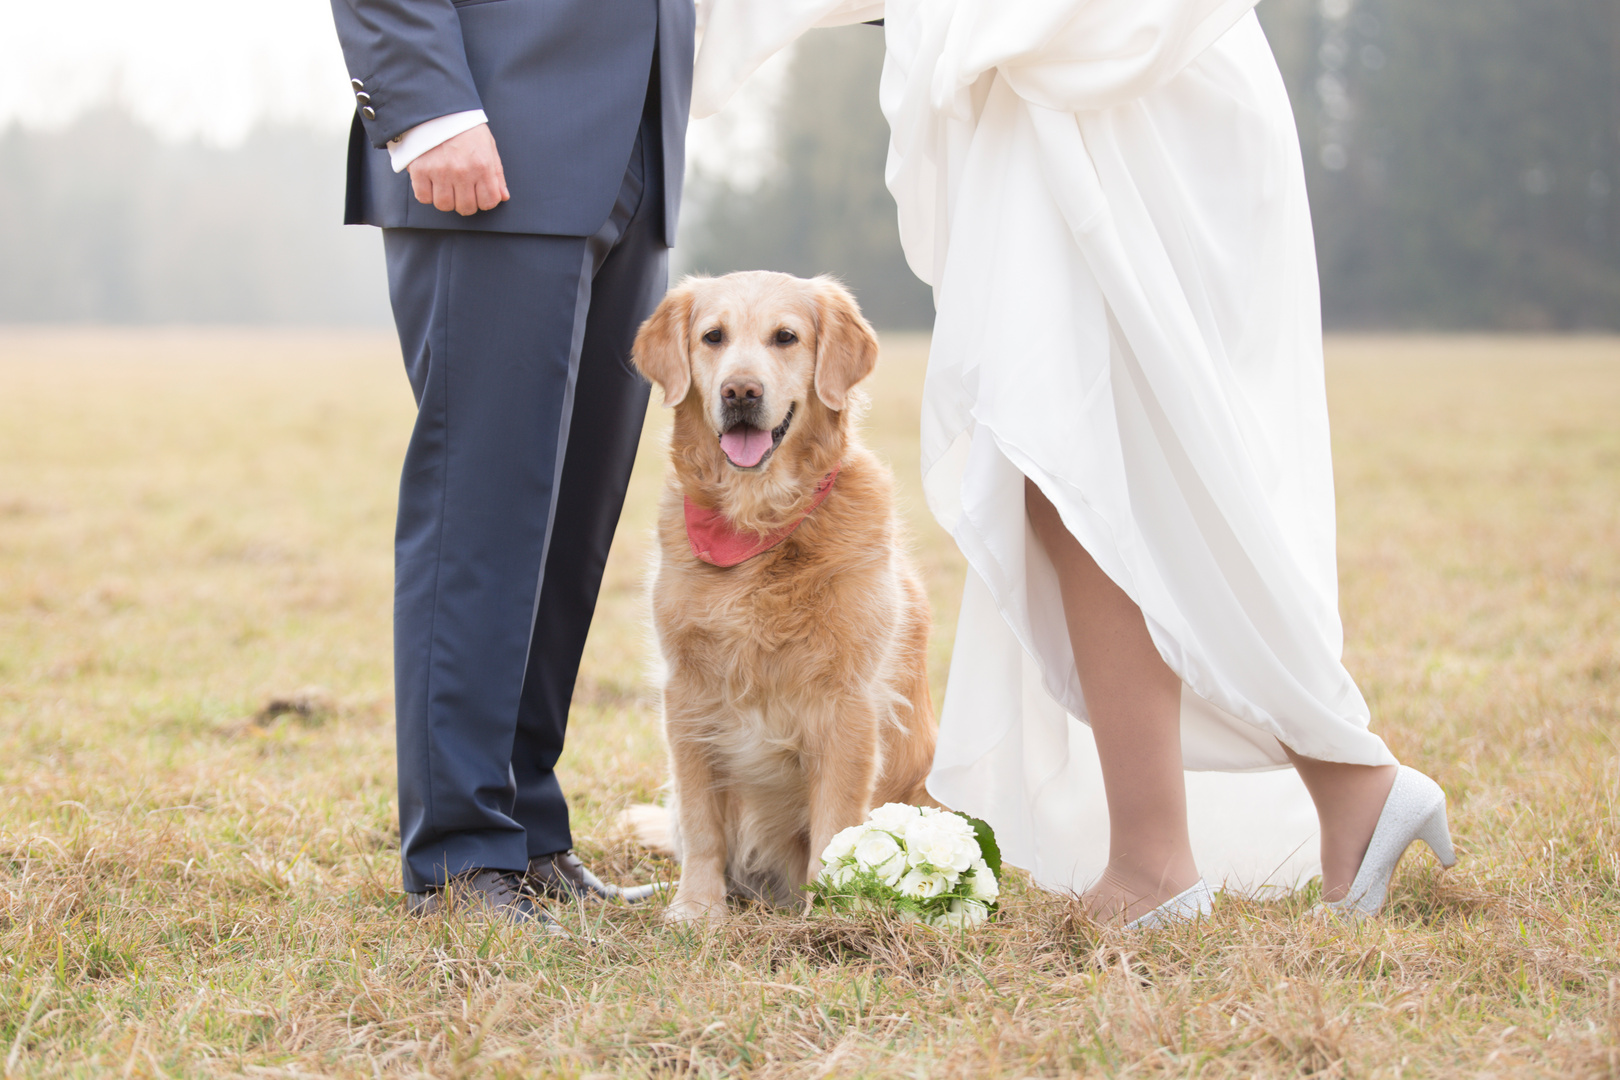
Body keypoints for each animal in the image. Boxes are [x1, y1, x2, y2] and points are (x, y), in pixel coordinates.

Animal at [625, 270, 939, 919]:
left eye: (786, 337)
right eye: (713, 336)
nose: (740, 392)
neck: (758, 525)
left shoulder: (846, 704)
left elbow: (836, 827)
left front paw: (833, 914)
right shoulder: (687, 694)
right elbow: (701, 822)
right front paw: (698, 909)